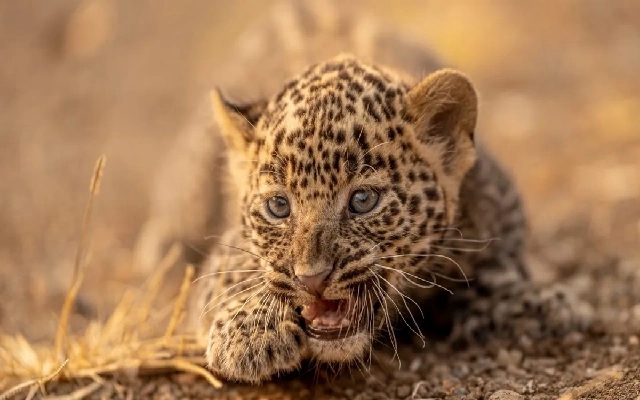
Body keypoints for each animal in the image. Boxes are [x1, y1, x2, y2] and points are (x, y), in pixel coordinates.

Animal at [135, 0, 592, 384]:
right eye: (279, 206)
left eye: (363, 201)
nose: (312, 279)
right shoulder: (228, 248)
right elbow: (239, 270)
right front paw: (250, 332)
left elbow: (495, 275)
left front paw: (541, 303)